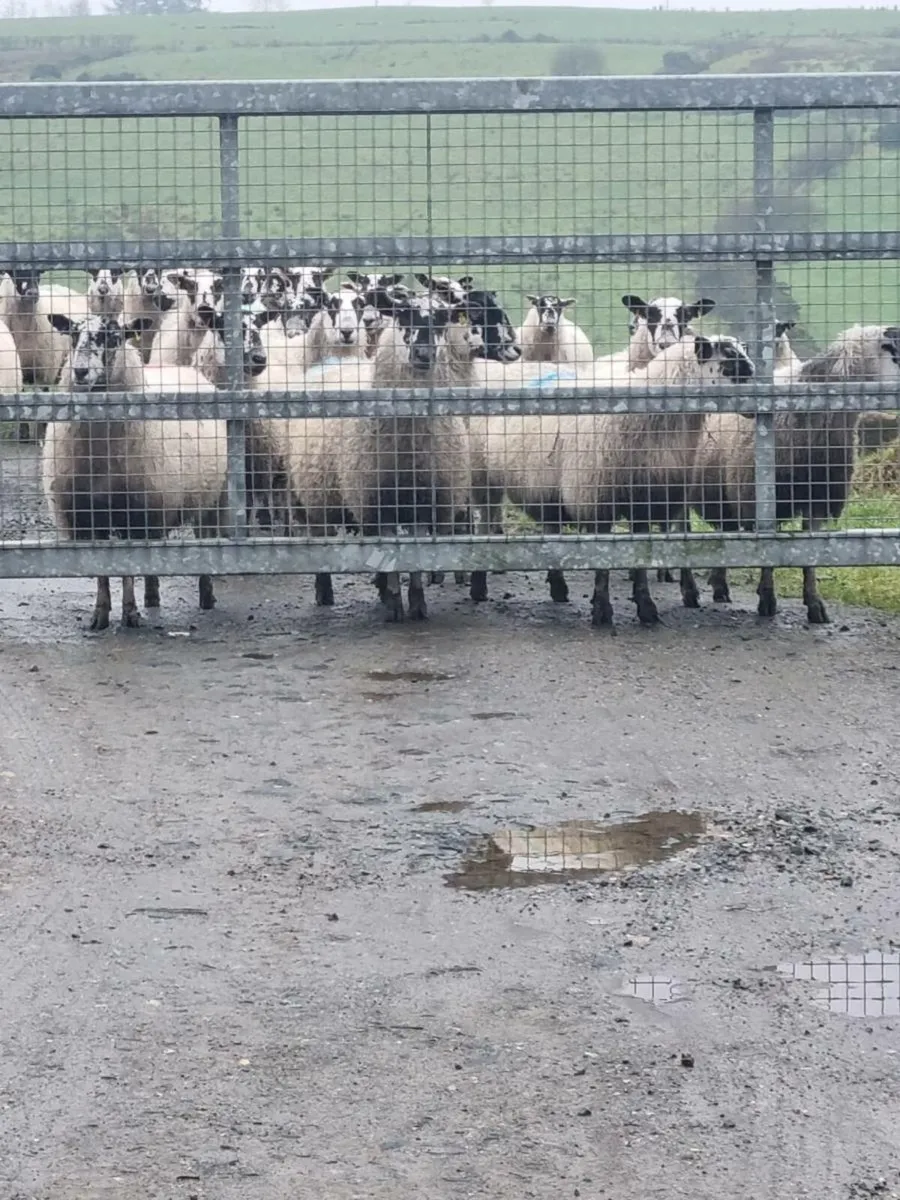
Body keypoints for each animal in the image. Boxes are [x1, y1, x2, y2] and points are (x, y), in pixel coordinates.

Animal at [46, 313, 228, 629]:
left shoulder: (135, 510)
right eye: (73, 334)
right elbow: (103, 571)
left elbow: (128, 566)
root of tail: (185, 369)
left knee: (205, 540)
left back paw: (206, 596)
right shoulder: (85, 515)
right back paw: (152, 597)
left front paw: (129, 613)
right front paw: (100, 614)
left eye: (113, 337)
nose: (80, 371)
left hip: (211, 498)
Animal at [697, 323, 900, 625]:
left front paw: (814, 603)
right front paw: (767, 600)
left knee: (726, 532)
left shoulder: (819, 499)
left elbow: (810, 555)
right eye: (894, 348)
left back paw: (719, 584)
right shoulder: (759, 499)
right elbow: (767, 554)